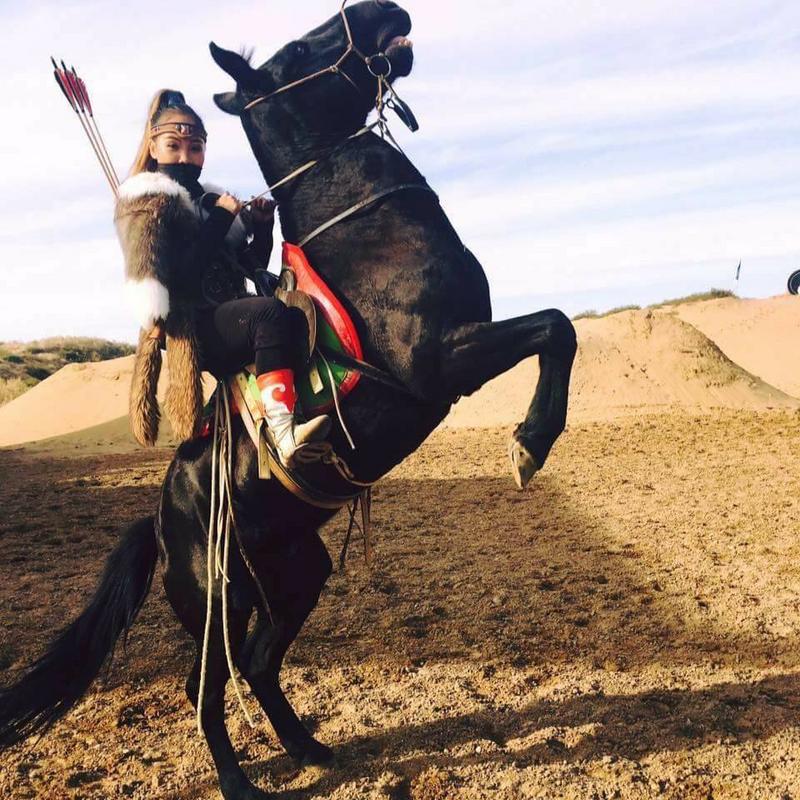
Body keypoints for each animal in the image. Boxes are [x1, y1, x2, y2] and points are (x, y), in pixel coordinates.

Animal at [0, 3, 576, 796]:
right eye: (299, 50)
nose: (382, 12)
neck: (369, 233)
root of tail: (160, 521)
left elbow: (558, 328)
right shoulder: (440, 361)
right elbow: (556, 326)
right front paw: (530, 443)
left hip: (296, 575)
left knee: (259, 665)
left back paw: (309, 747)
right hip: (217, 600)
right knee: (208, 685)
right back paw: (240, 781)